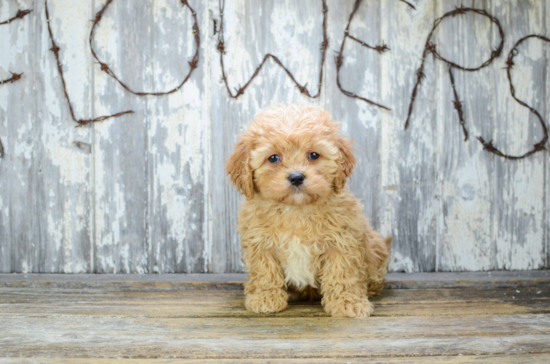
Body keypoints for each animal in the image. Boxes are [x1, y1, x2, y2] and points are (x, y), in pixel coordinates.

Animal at [227, 104, 392, 318]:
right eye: (273, 158)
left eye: (314, 155)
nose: (296, 177)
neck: (296, 209)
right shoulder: (261, 243)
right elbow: (265, 271)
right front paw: (265, 298)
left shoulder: (342, 241)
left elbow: (343, 273)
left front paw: (347, 303)